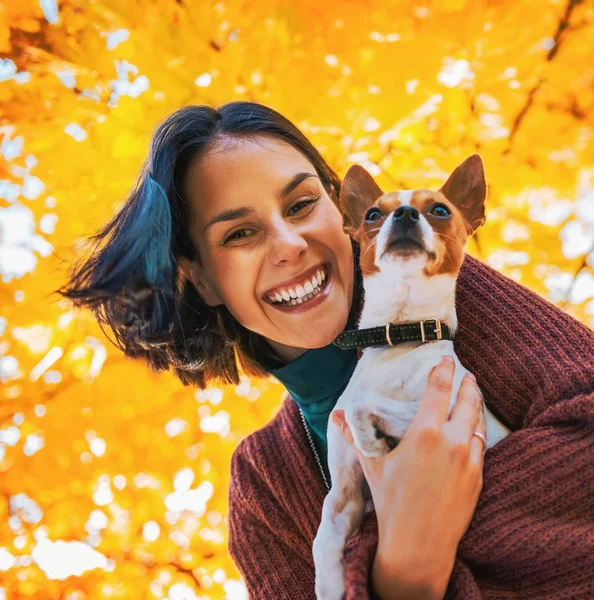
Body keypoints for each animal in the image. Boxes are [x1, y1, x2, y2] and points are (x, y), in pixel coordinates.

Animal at [310, 156, 508, 600]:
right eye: (372, 214)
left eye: (440, 210)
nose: (403, 213)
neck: (398, 337)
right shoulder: (345, 497)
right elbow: (324, 539)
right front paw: (330, 585)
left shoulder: (449, 415)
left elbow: (364, 405)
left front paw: (370, 440)